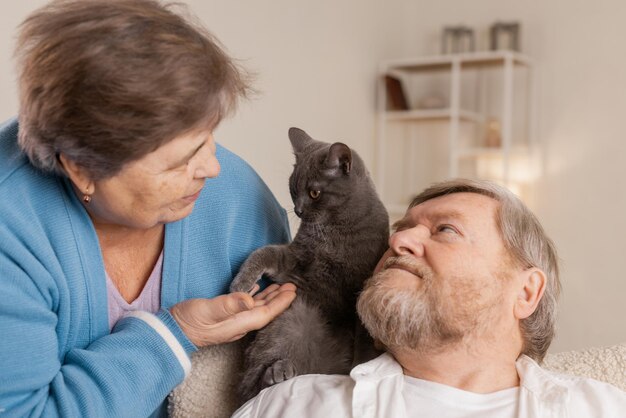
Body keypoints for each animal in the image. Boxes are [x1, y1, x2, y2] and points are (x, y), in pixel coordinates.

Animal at [227, 127, 388, 402]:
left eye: (314, 193)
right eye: (293, 189)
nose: (298, 210)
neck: (334, 230)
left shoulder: (361, 291)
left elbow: (364, 343)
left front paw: (359, 367)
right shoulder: (295, 260)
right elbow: (263, 253)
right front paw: (241, 283)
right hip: (294, 316)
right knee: (251, 385)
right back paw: (278, 371)